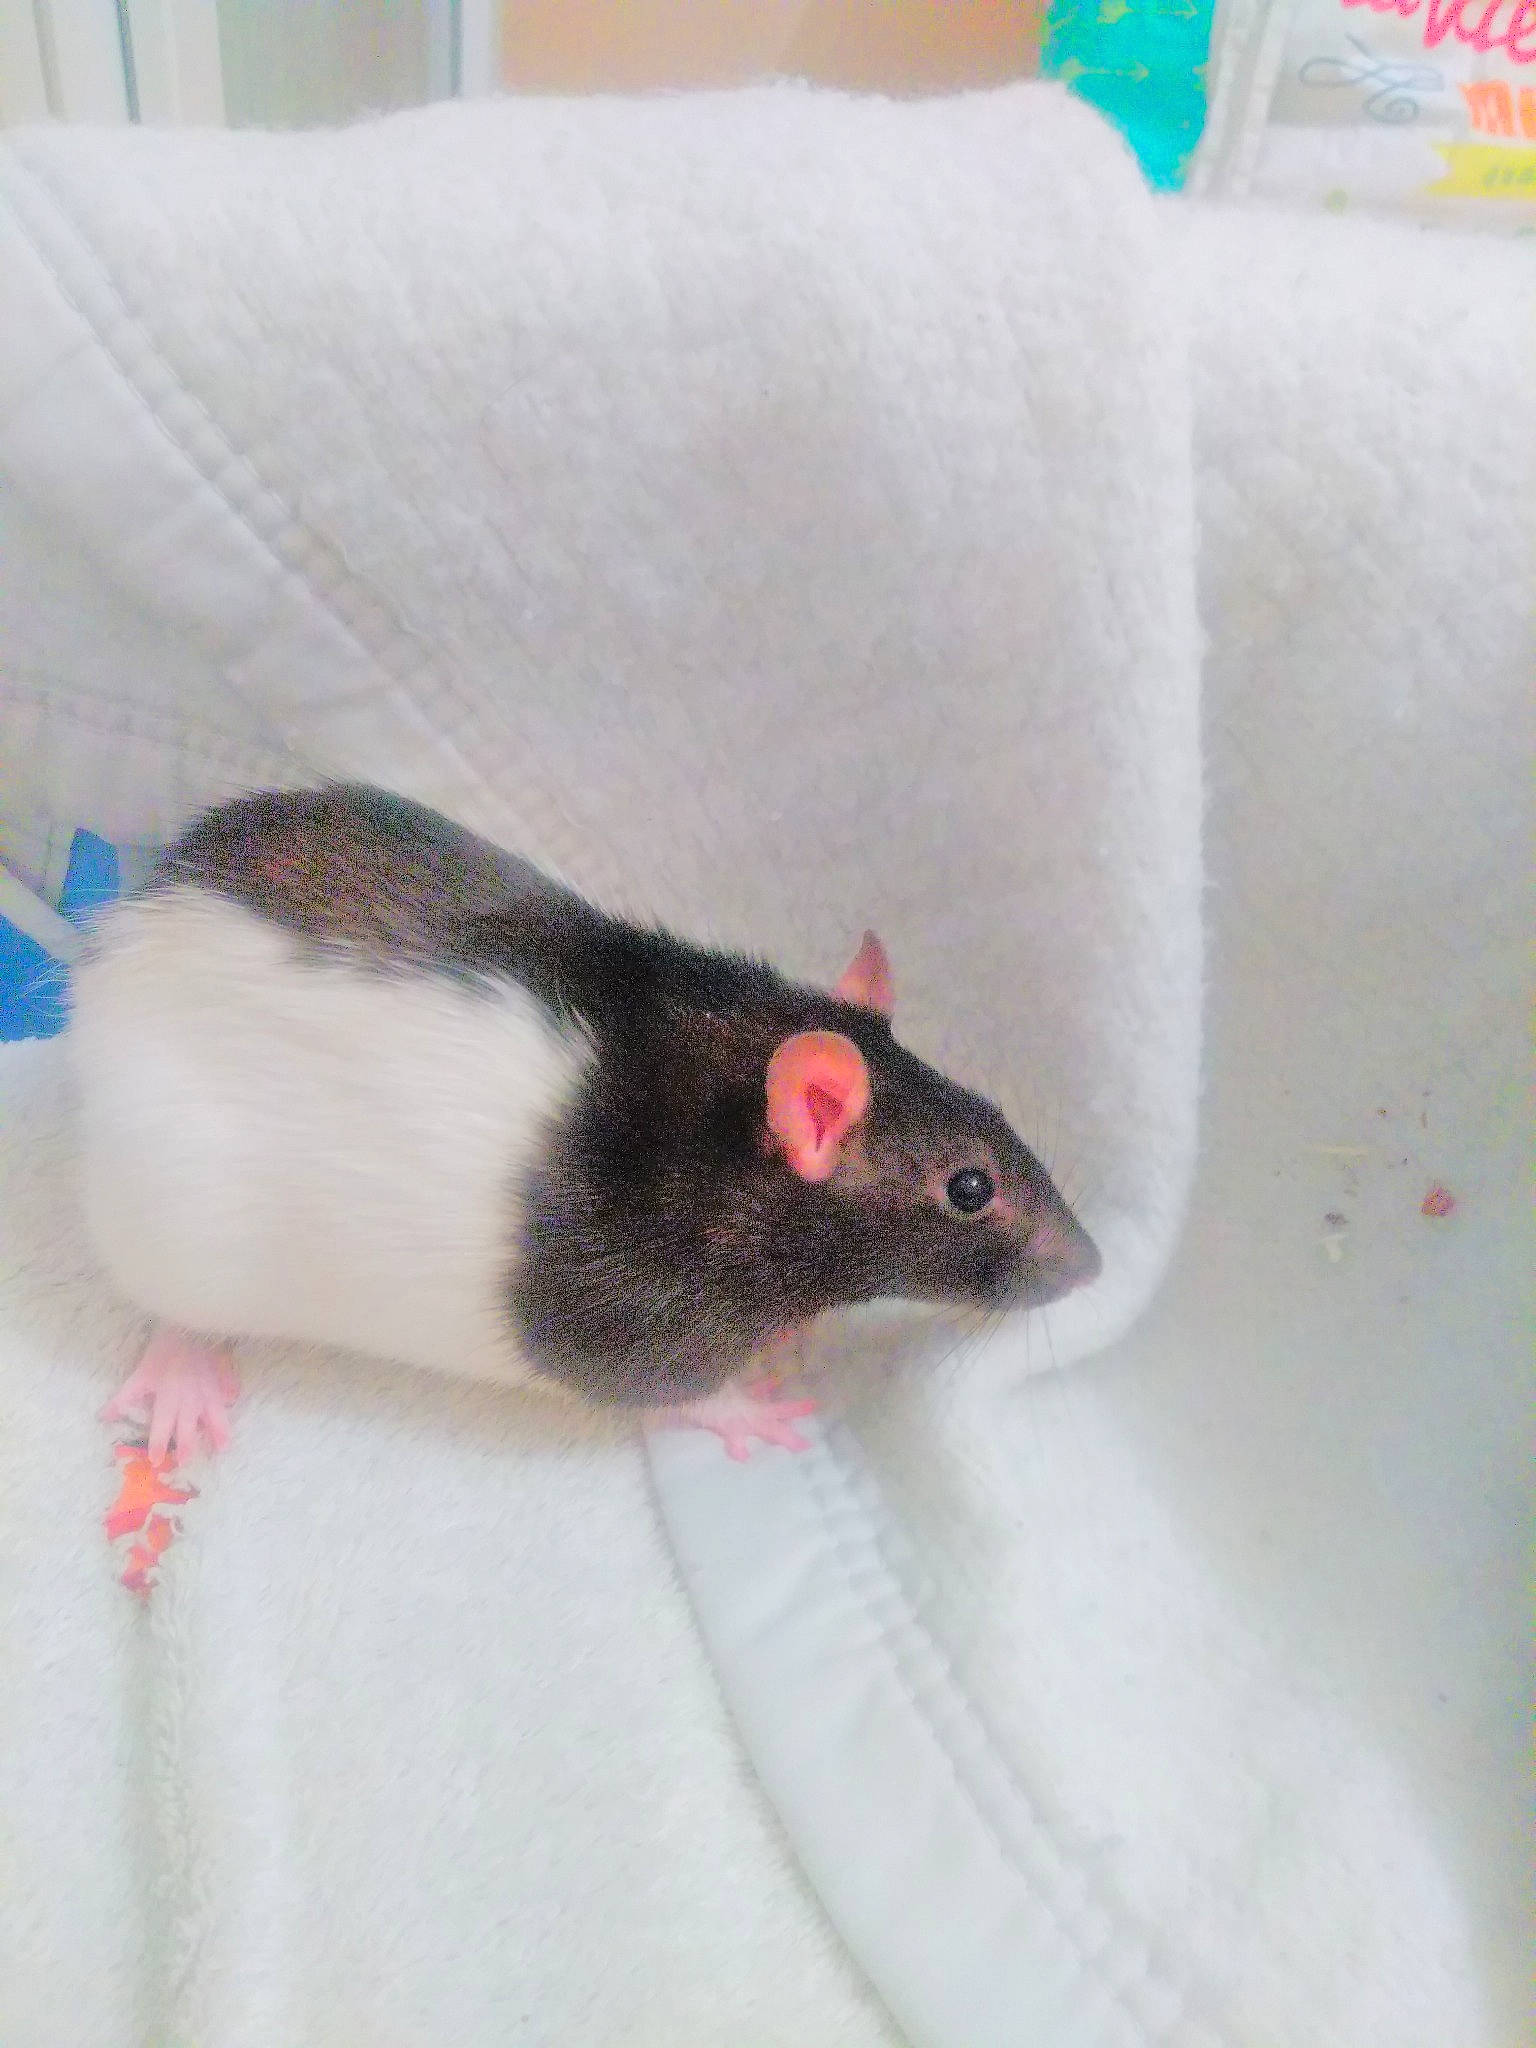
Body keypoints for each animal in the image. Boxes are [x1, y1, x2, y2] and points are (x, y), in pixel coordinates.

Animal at [71, 784, 1099, 1464]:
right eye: (971, 1187)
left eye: (999, 1117)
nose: (1091, 1265)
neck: (725, 1090)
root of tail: (116, 960)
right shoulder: (638, 1327)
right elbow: (657, 1393)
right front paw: (745, 1406)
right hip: (174, 1225)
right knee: (172, 1308)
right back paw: (182, 1369)